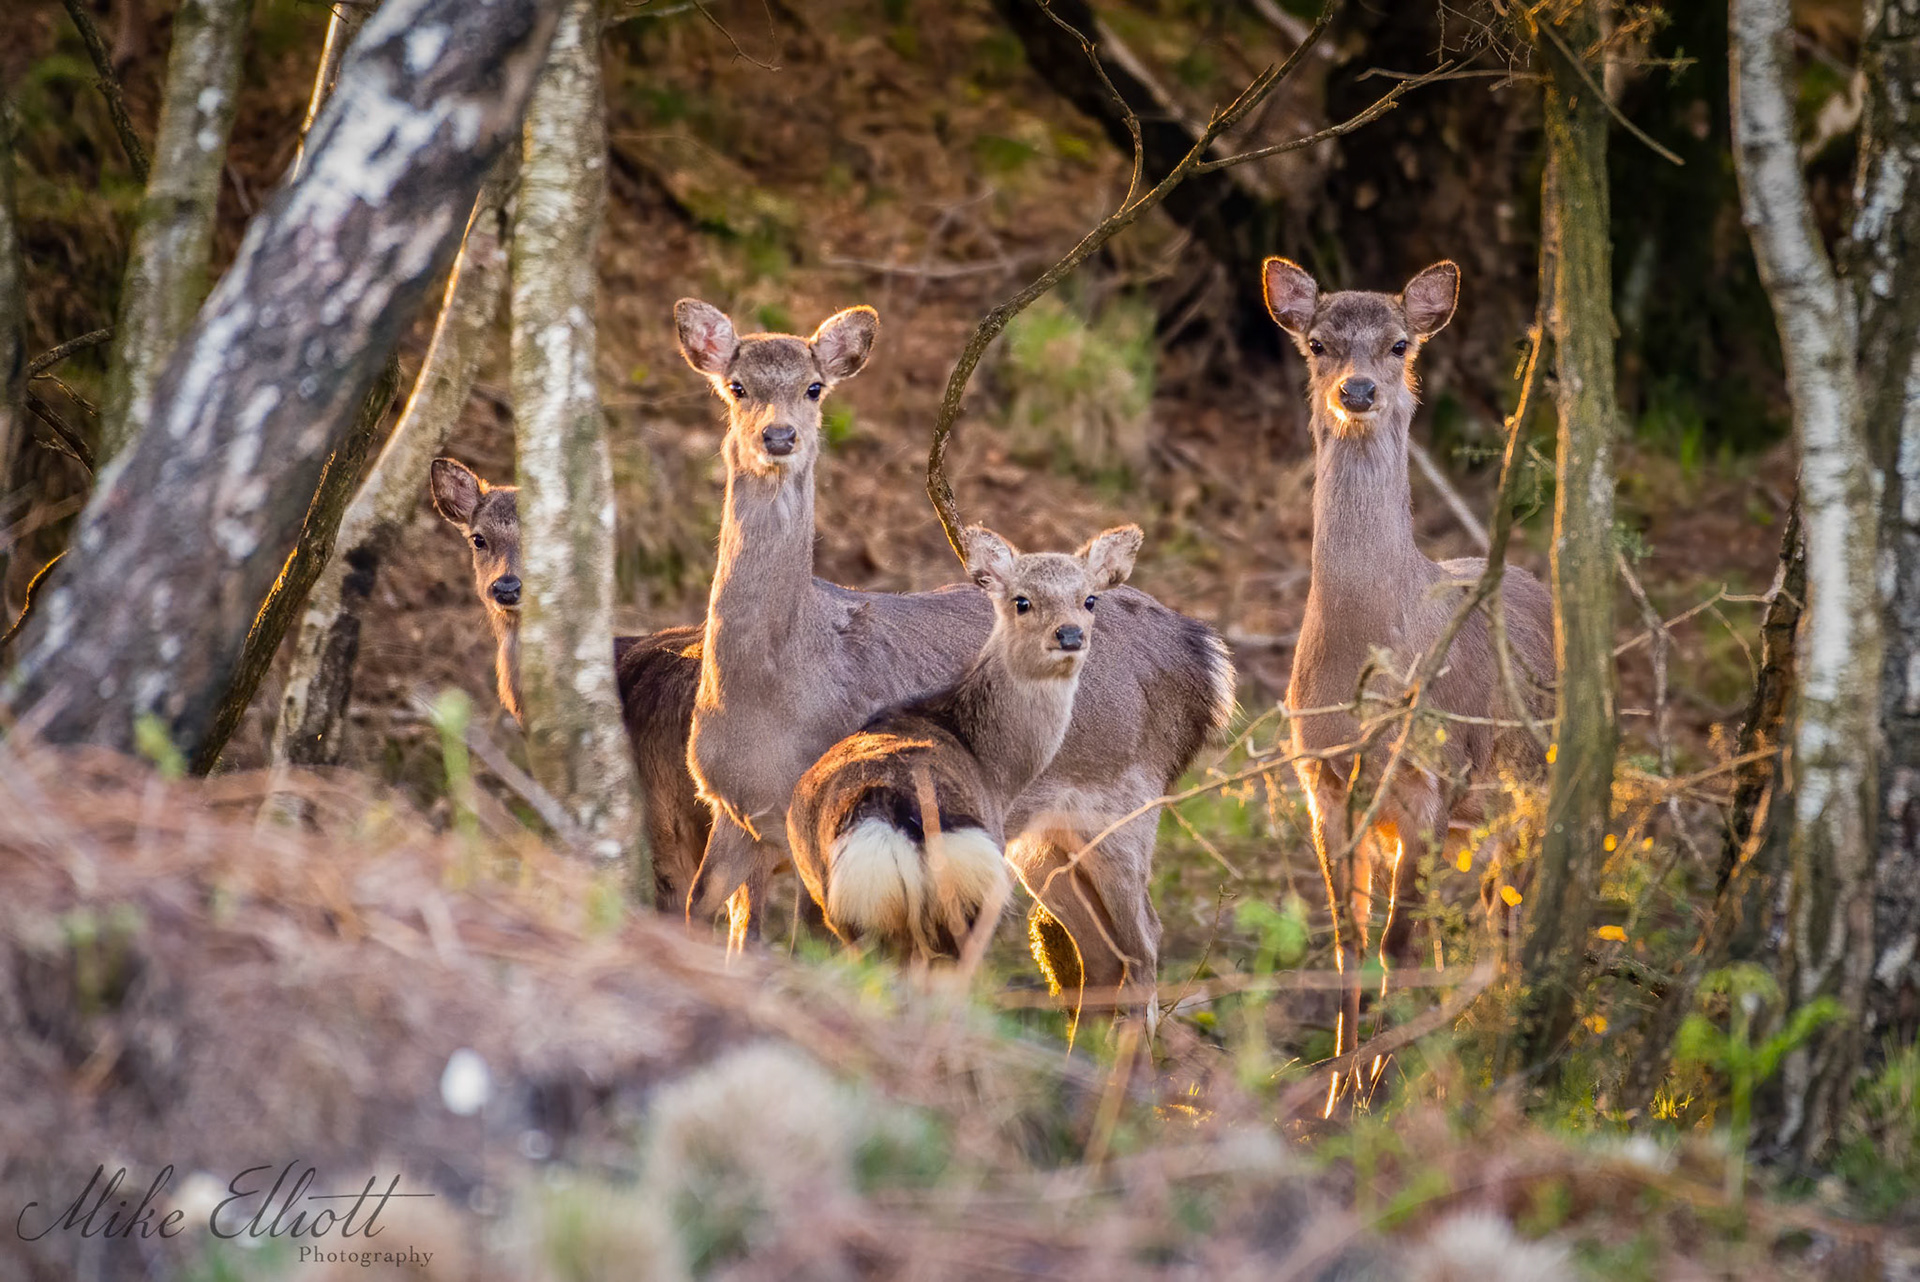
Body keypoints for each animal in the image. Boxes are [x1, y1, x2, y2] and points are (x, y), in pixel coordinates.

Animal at [1262, 258, 1554, 1073]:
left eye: (1399, 344)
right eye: (1317, 343)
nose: (1357, 391)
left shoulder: (1431, 777)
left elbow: (1398, 947)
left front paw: (1375, 1087)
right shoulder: (1322, 780)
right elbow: (1349, 943)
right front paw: (1339, 1086)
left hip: (1527, 792)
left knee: (1508, 921)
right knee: (1480, 920)